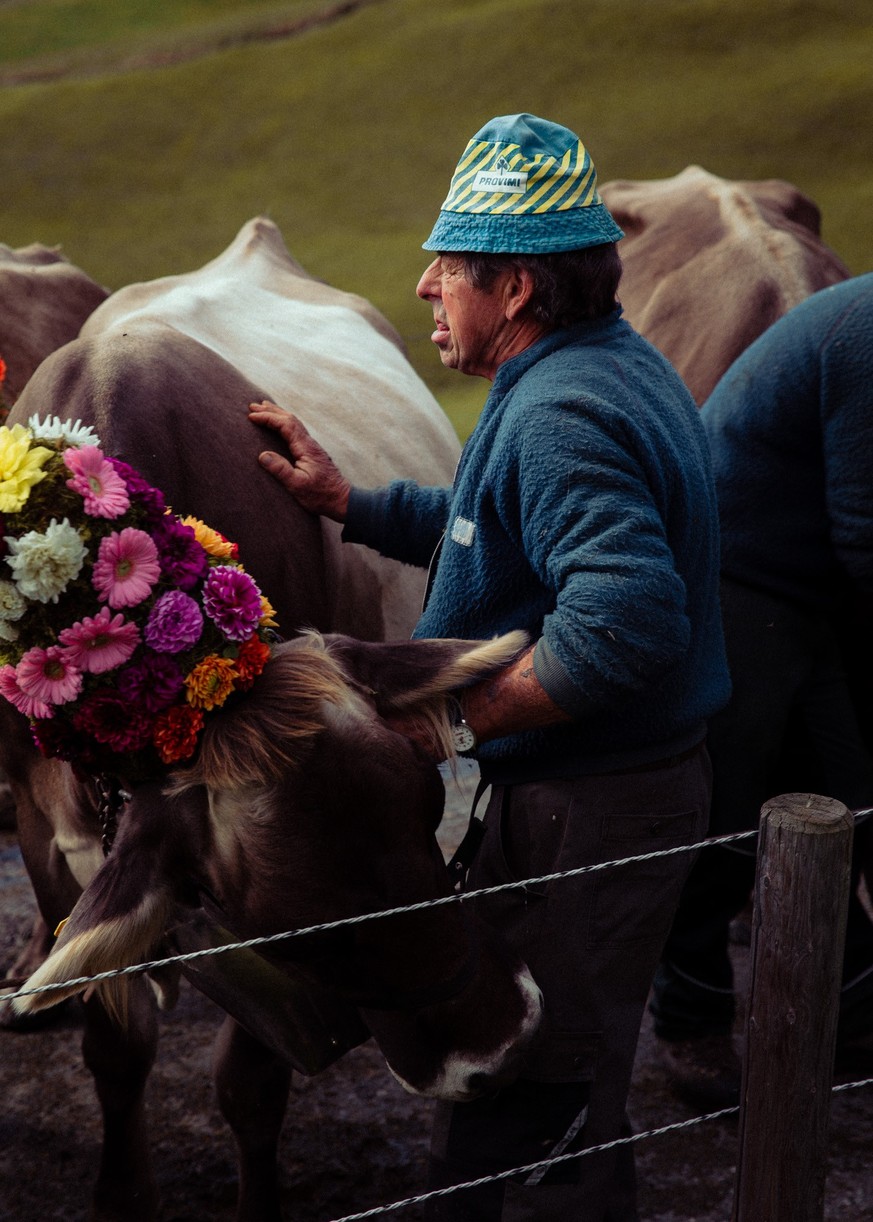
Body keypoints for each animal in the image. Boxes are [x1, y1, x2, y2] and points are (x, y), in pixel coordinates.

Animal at [0, 219, 542, 1222]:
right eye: (298, 926)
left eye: (426, 813)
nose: (497, 1050)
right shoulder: (44, 835)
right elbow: (115, 1047)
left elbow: (249, 1087)